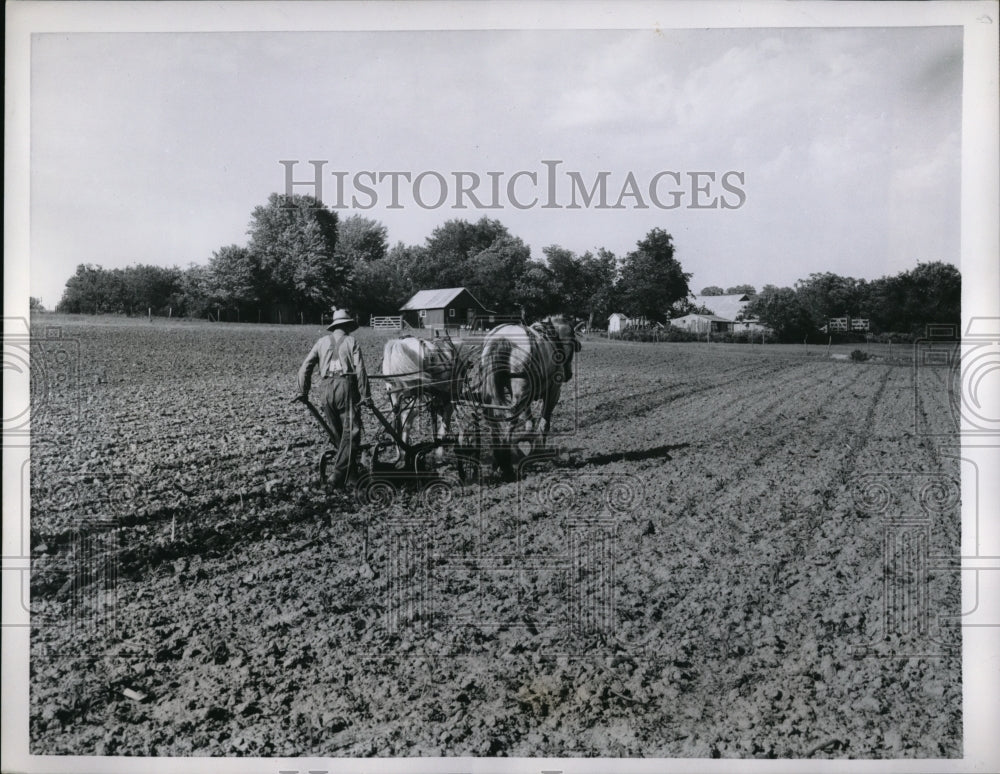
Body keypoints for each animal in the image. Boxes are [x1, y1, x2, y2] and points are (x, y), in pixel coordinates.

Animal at [480, 316, 584, 478]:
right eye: (573, 347)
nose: (569, 374)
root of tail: (503, 337)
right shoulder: (554, 391)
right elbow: (544, 422)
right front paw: (538, 450)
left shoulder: (526, 395)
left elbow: (529, 421)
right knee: (510, 419)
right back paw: (506, 465)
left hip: (493, 391)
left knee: (492, 418)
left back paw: (497, 461)